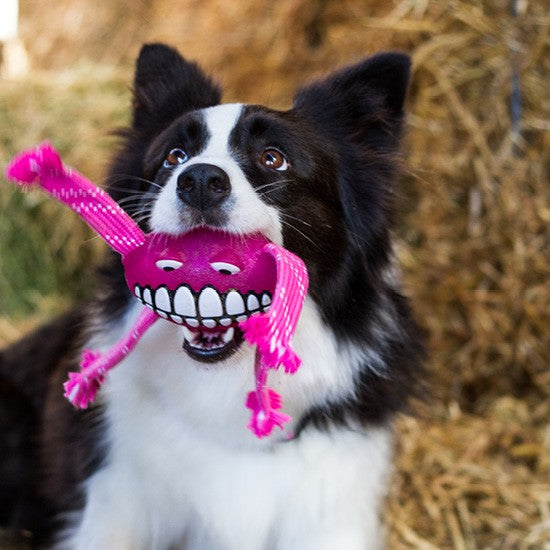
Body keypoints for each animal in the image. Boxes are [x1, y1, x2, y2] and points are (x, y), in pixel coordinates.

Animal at [0, 44, 424, 550]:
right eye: (174, 156)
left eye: (273, 158)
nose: (199, 179)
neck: (225, 383)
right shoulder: (113, 504)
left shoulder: (332, 514)